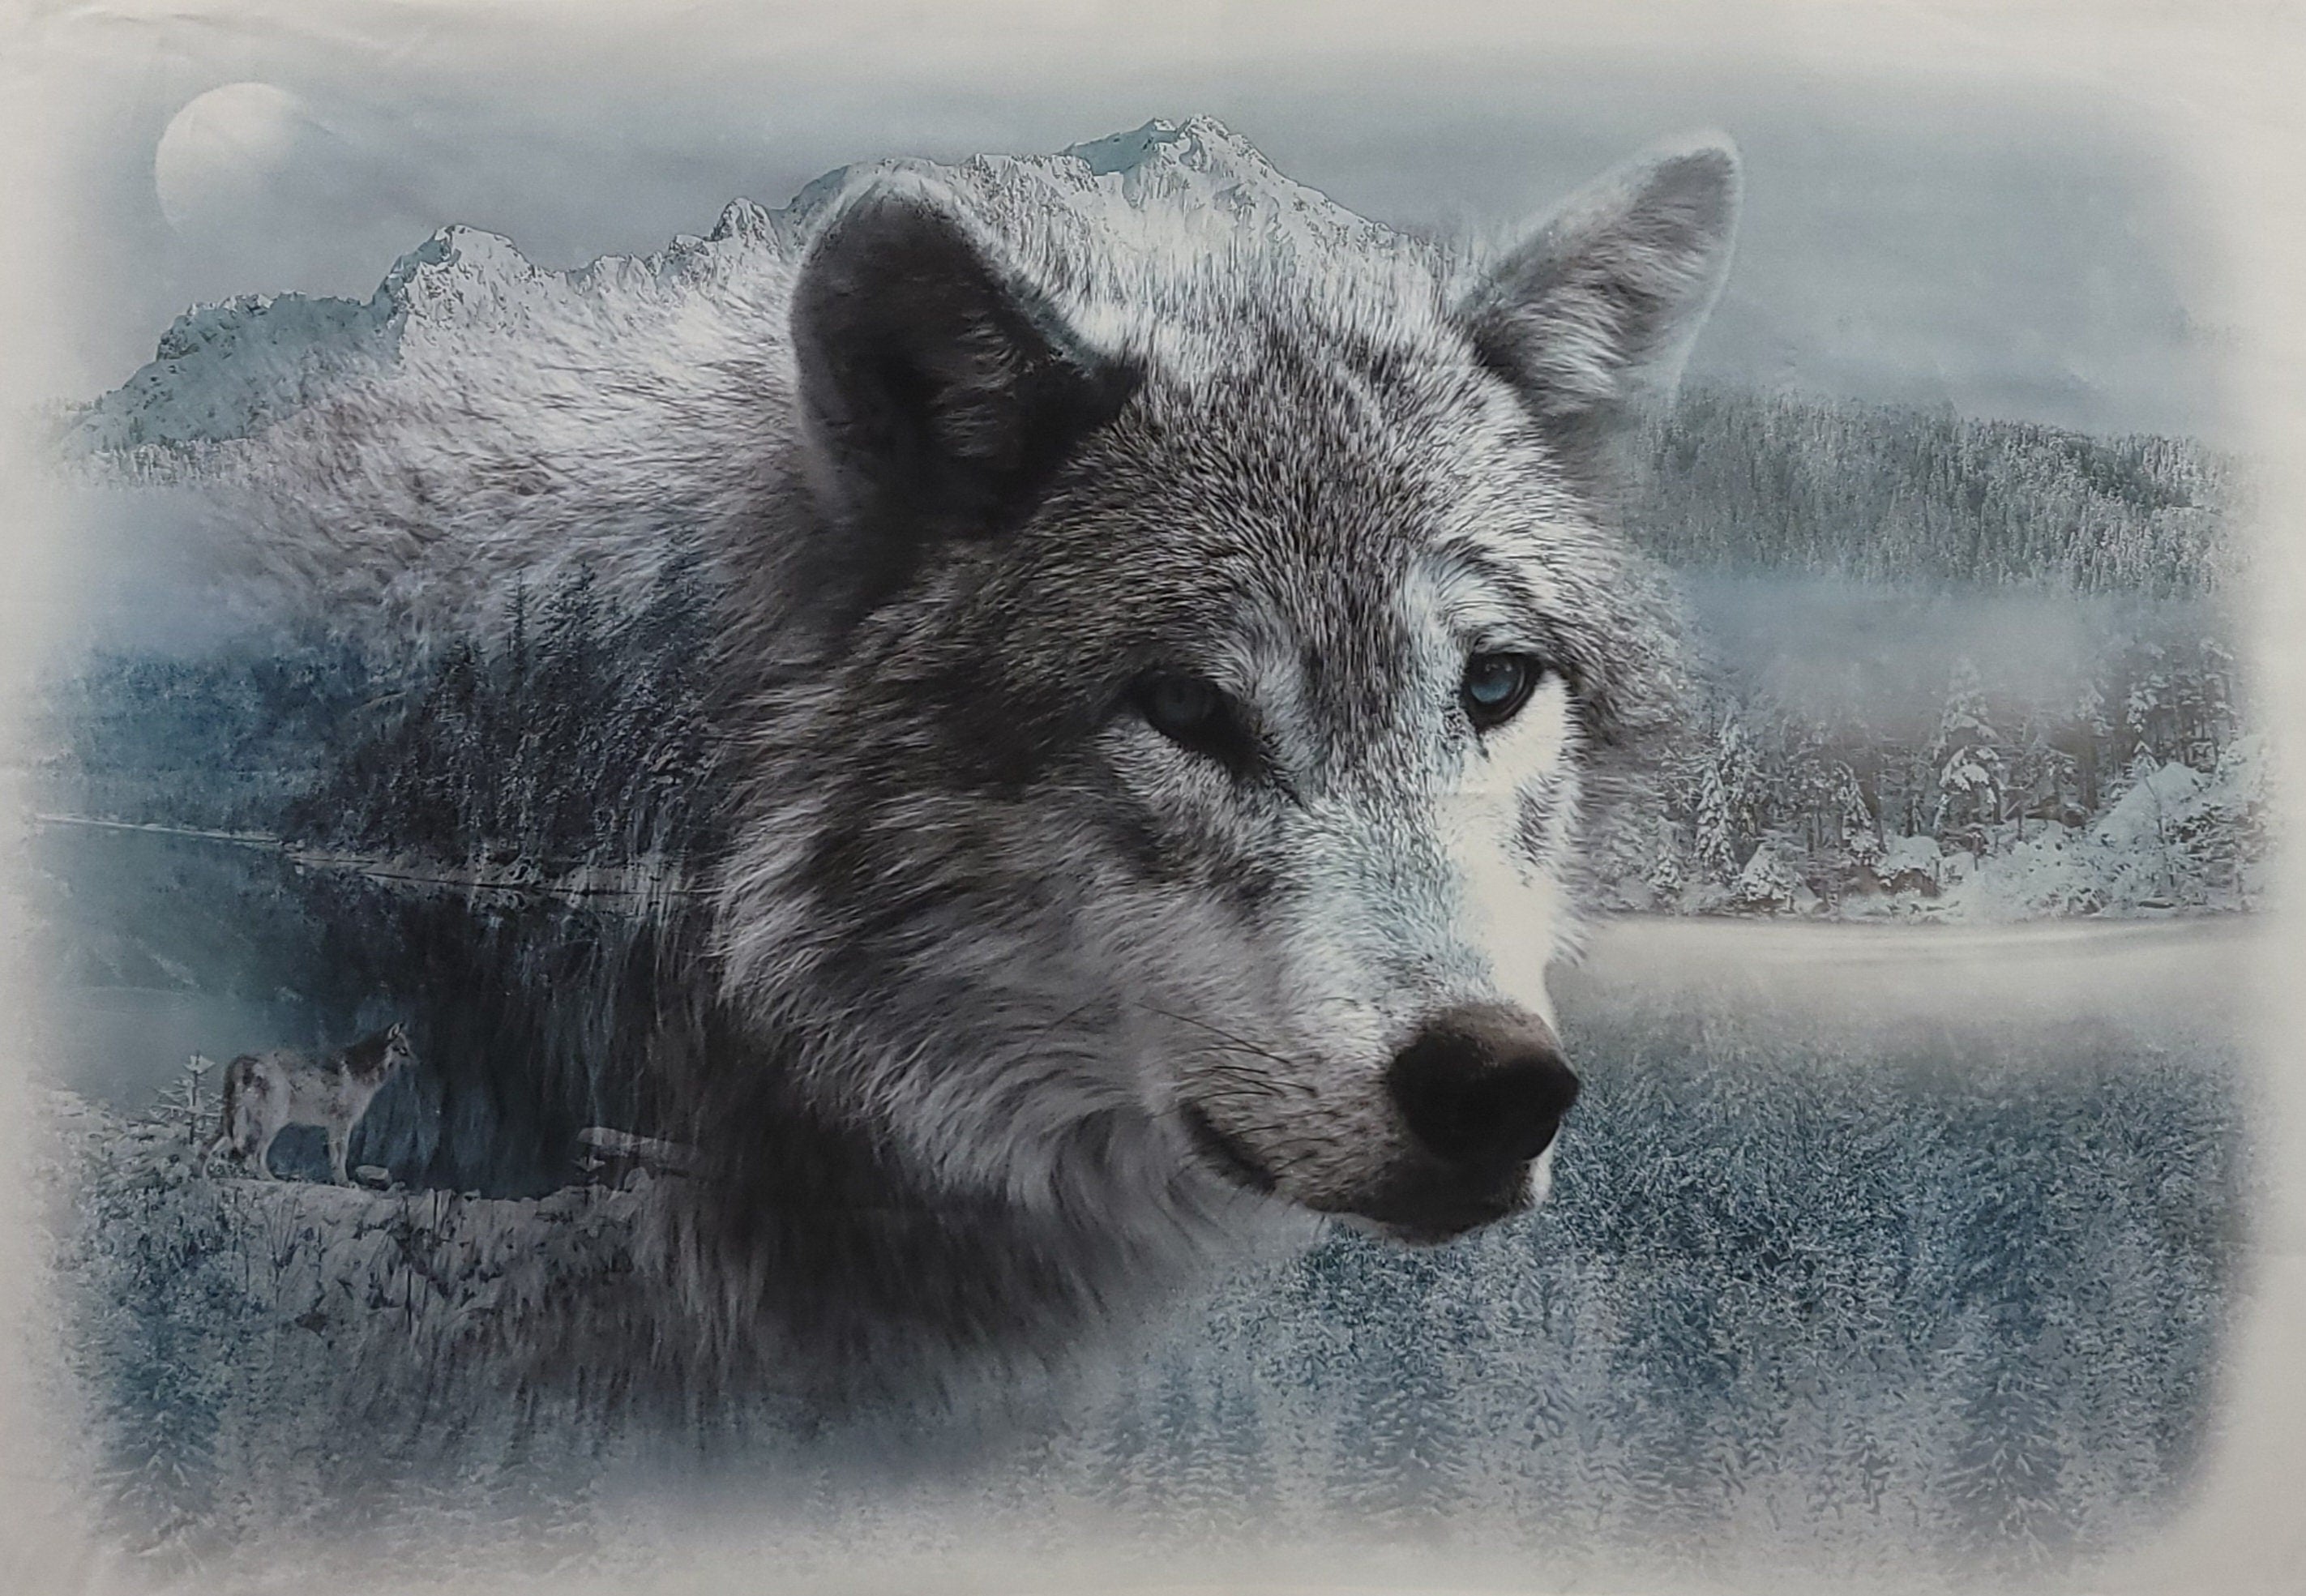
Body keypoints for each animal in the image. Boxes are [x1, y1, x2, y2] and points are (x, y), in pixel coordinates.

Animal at [198, 1023, 417, 1185]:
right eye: (403, 1051)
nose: (418, 1062)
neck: (366, 1067)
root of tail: (242, 1061)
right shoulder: (342, 1124)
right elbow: (341, 1157)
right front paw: (345, 1183)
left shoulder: (333, 1127)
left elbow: (335, 1158)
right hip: (271, 1124)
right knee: (253, 1157)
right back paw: (271, 1180)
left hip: (233, 1125)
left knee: (205, 1148)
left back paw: (201, 1179)